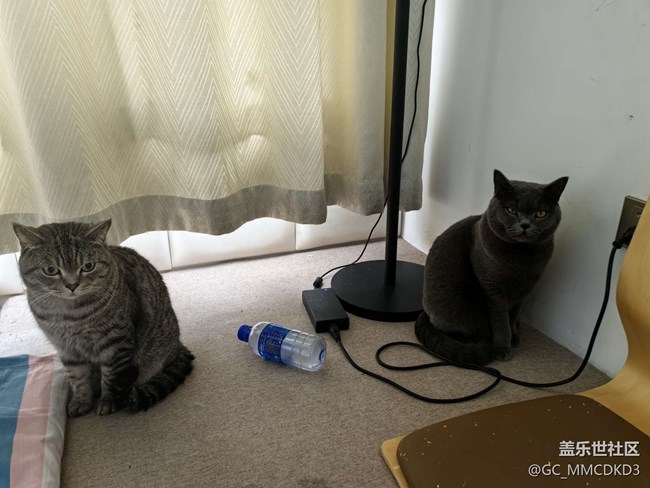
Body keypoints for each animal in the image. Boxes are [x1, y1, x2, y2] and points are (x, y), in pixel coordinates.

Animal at [12, 219, 194, 416]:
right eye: (51, 270)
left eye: (88, 266)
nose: (72, 285)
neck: (70, 317)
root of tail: (178, 345)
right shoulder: (67, 349)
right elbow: (79, 379)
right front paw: (82, 402)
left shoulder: (115, 344)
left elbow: (111, 378)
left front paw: (108, 401)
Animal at [415, 169, 568, 365]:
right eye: (511, 210)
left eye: (541, 213)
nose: (525, 224)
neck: (522, 259)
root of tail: (425, 313)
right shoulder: (493, 291)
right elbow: (501, 322)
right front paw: (503, 348)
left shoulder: (524, 291)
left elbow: (513, 316)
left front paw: (514, 335)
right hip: (458, 308)